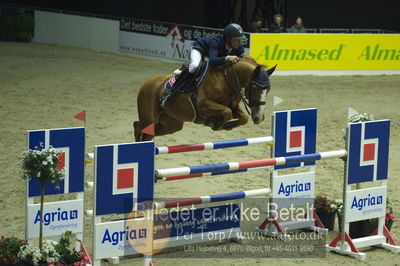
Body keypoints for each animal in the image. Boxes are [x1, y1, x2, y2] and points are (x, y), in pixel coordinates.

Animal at [134, 56, 276, 142]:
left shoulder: (233, 106)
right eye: (254, 87)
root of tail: (147, 84)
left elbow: (243, 117)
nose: (258, 118)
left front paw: (224, 124)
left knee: (149, 133)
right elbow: (227, 112)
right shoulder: (203, 105)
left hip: (172, 124)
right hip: (149, 117)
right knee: (138, 126)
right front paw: (216, 123)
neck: (227, 78)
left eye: (268, 89)